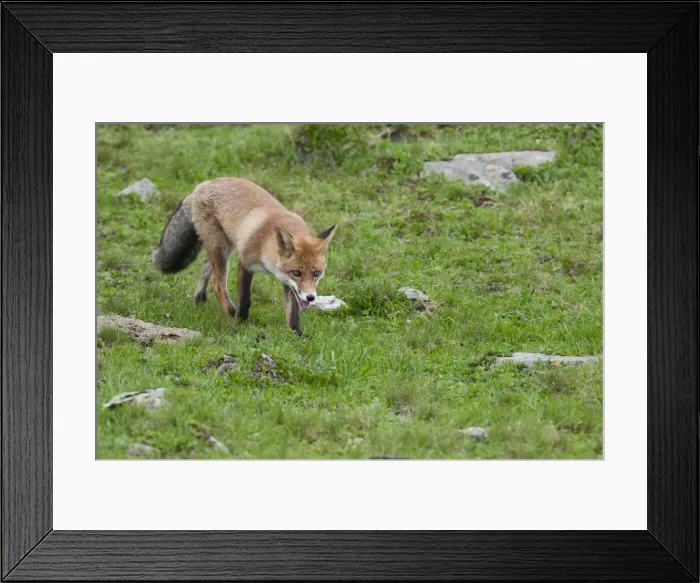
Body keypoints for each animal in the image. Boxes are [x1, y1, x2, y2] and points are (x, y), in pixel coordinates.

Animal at [151, 177, 336, 336]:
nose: (311, 297)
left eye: (316, 273)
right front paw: (241, 322)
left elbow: (293, 312)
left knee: (205, 267)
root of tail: (204, 184)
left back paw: (199, 299)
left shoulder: (287, 282)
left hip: (223, 246)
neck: (266, 245)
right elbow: (245, 298)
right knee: (218, 286)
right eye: (297, 273)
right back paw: (230, 313)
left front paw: (296, 334)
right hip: (221, 249)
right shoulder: (246, 263)